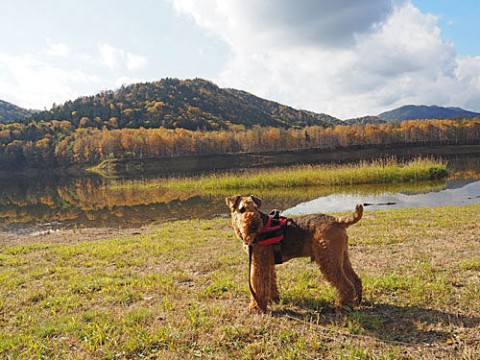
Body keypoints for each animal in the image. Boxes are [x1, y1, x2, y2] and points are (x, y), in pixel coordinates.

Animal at [227, 195, 362, 314]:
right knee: (356, 279)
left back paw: (342, 306)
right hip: (341, 257)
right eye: (242, 209)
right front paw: (273, 298)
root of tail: (337, 220)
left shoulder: (259, 263)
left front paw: (256, 307)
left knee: (346, 285)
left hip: (329, 260)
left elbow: (257, 286)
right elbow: (270, 282)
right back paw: (357, 301)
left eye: (256, 208)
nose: (254, 226)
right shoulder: (267, 263)